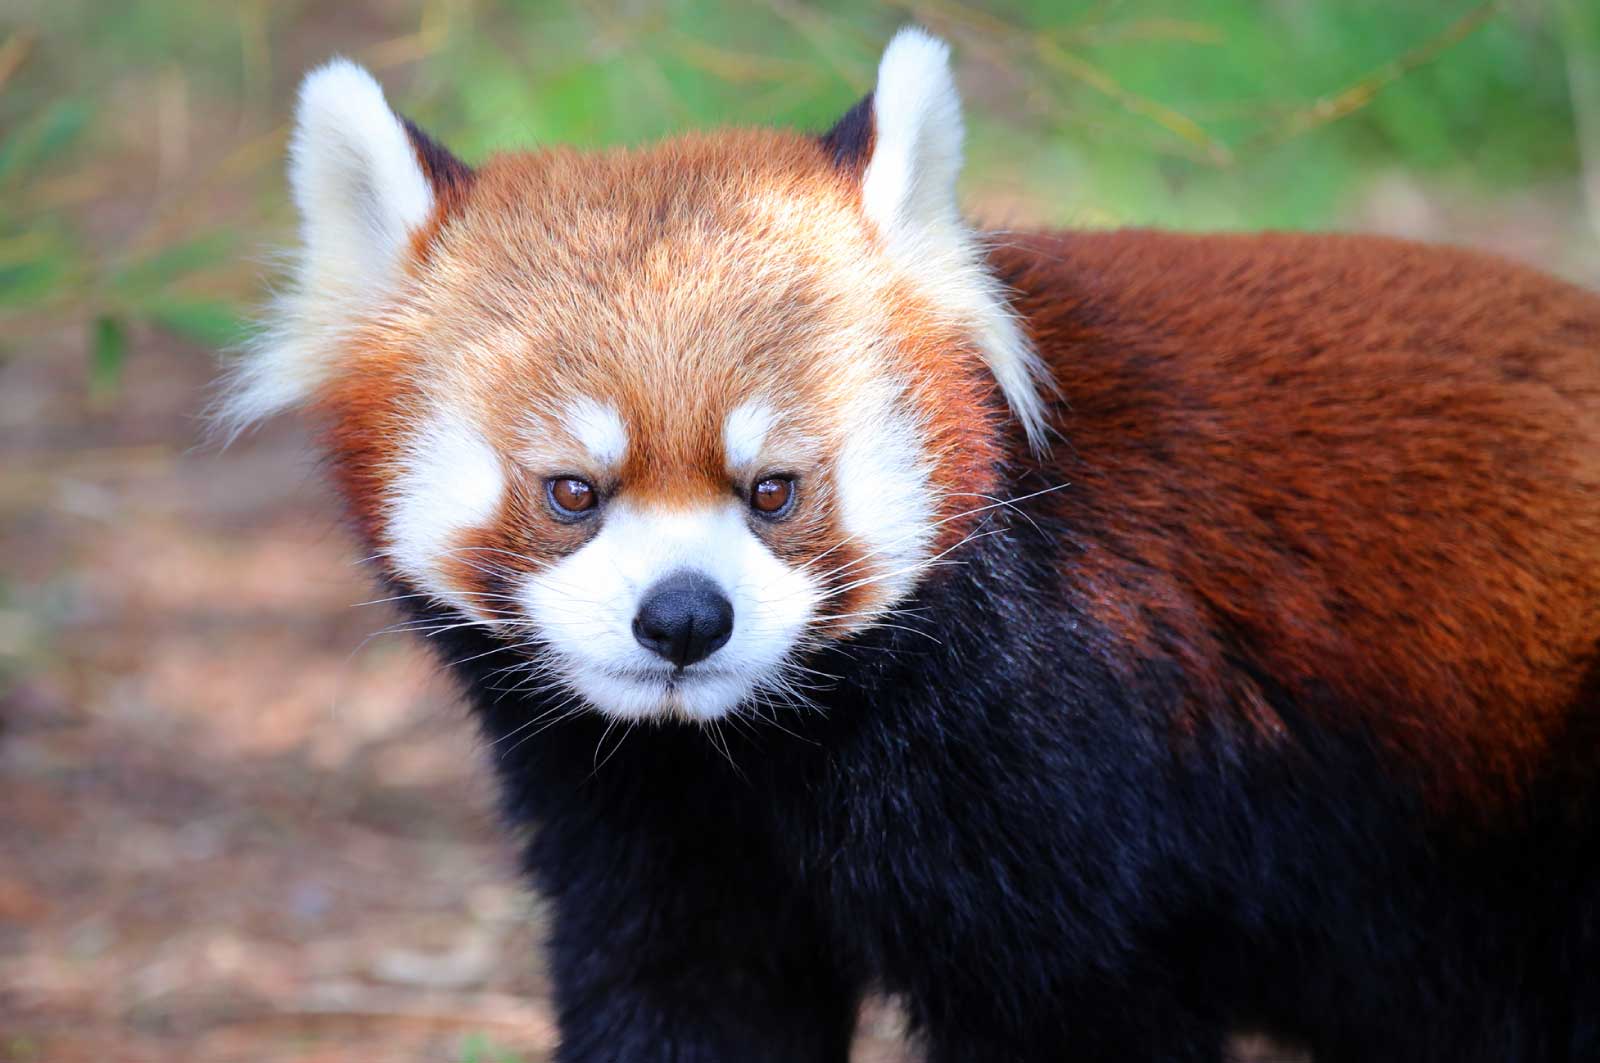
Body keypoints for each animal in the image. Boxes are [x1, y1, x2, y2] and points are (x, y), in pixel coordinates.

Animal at [225, 24, 1600, 1063]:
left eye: (773, 490)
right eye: (572, 491)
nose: (684, 618)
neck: (759, 749)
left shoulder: (1074, 756)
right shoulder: (646, 820)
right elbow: (686, 991)